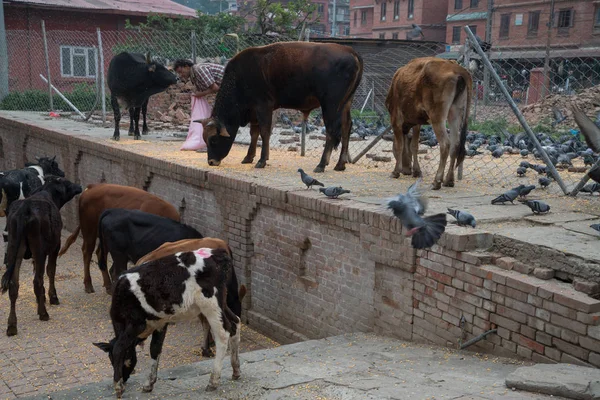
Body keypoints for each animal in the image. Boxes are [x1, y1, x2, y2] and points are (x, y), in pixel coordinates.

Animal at [0, 177, 82, 336]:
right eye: (67, 183)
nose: (79, 186)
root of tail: (24, 208)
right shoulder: (55, 247)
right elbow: (51, 271)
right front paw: (52, 297)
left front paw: (41, 299)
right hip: (39, 250)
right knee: (37, 280)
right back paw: (43, 313)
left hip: (14, 249)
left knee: (14, 285)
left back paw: (12, 325)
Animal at [92, 247, 240, 396]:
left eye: (112, 359)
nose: (125, 378)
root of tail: (215, 253)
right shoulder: (160, 323)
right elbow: (155, 349)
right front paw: (149, 383)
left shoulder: (136, 324)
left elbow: (119, 347)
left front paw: (118, 386)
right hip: (221, 303)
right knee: (235, 323)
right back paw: (236, 370)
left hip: (210, 304)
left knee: (223, 333)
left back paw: (213, 381)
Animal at [197, 41, 364, 174]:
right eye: (204, 139)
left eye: (213, 140)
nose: (211, 162)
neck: (240, 78)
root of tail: (349, 50)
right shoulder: (254, 111)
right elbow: (254, 133)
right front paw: (249, 157)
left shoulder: (263, 106)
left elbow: (264, 132)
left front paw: (262, 160)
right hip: (346, 103)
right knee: (347, 127)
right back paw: (340, 164)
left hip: (330, 105)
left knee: (331, 131)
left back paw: (322, 164)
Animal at [384, 56, 474, 191]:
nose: (407, 170)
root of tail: (456, 67)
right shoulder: (416, 122)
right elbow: (414, 146)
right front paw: (417, 171)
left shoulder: (396, 119)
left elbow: (399, 146)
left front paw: (395, 172)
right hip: (455, 112)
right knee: (455, 144)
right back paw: (449, 180)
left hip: (437, 116)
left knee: (445, 144)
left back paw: (437, 181)